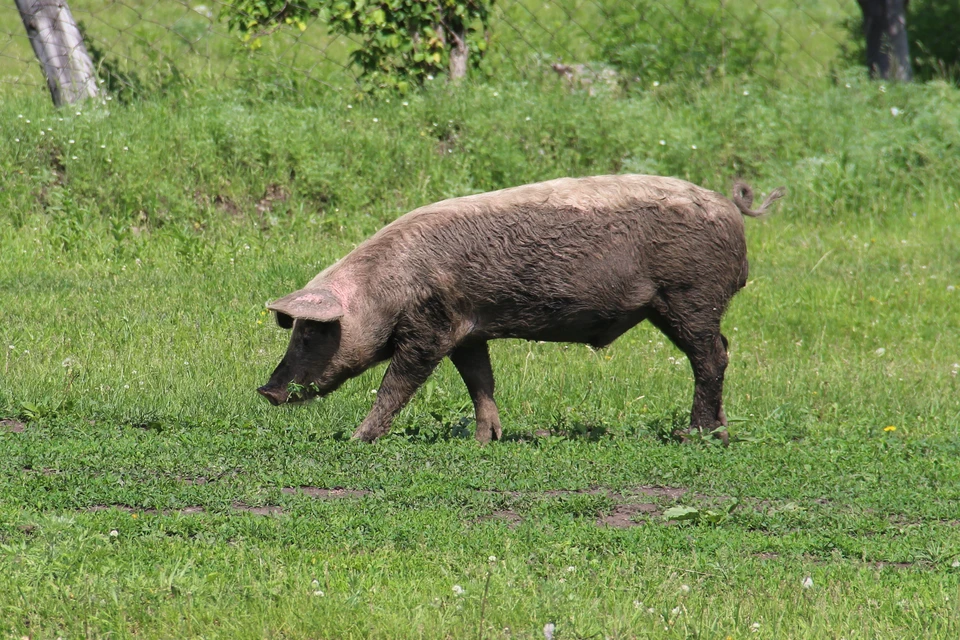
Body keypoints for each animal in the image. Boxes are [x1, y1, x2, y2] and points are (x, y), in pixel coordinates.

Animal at [258, 175, 784, 444]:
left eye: (312, 332)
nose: (266, 390)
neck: (386, 289)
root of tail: (731, 208)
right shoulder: (468, 330)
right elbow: (480, 381)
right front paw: (485, 439)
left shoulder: (431, 328)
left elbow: (396, 385)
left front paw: (356, 439)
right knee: (719, 353)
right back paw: (717, 431)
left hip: (689, 296)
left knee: (711, 357)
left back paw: (694, 435)